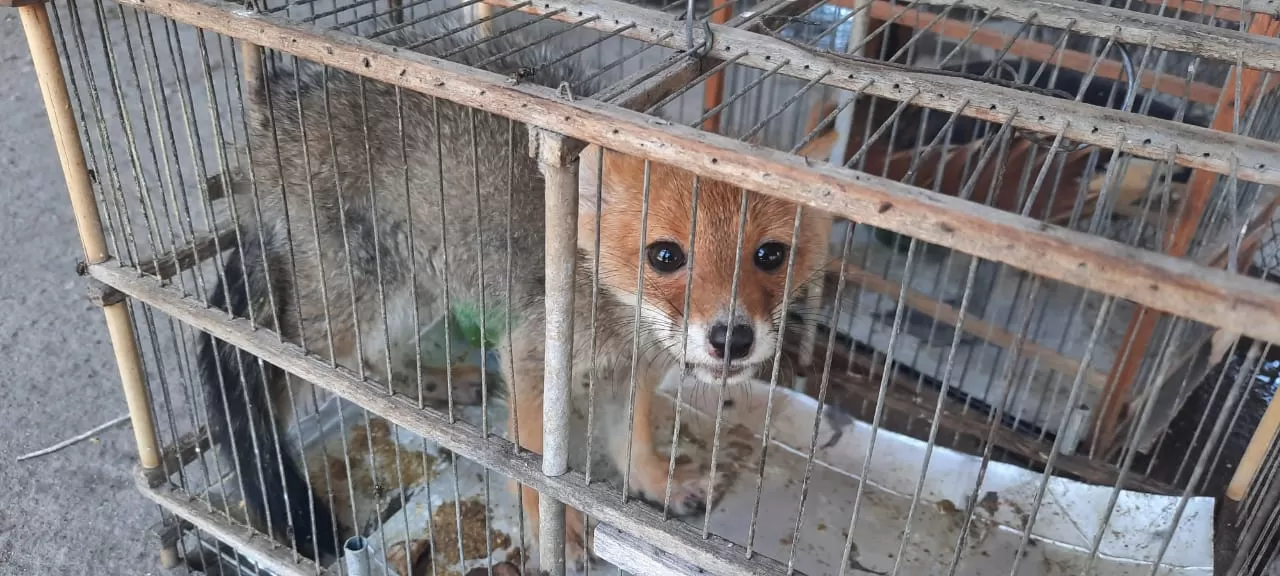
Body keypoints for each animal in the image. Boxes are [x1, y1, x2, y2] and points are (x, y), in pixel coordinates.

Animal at [189, 11, 829, 568]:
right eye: (665, 256)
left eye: (771, 255)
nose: (732, 338)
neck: (603, 298)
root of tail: (269, 119)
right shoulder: (530, 357)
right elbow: (539, 472)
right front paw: (557, 532)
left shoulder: (635, 370)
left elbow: (633, 441)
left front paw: (655, 484)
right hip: (365, 298)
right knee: (281, 360)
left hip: (417, 291)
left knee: (373, 367)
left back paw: (443, 383)